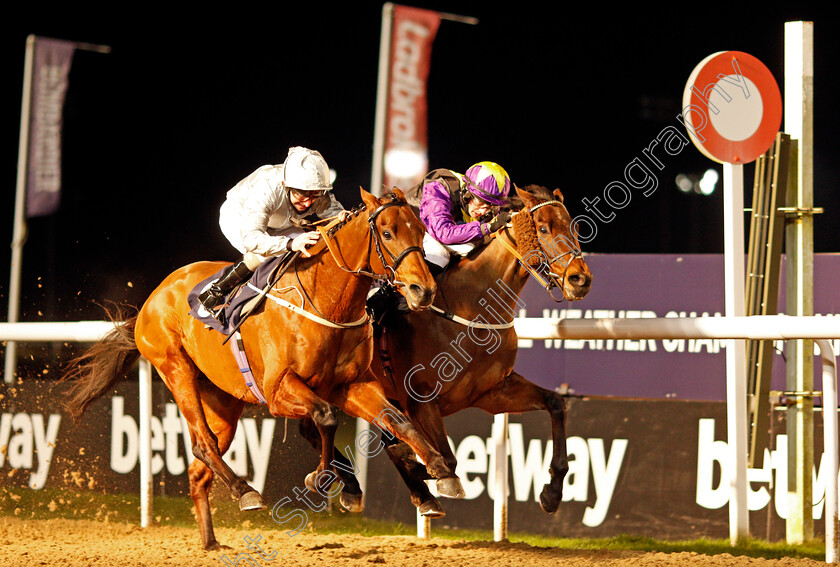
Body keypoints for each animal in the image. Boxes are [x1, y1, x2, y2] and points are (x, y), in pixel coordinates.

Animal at [62, 190, 462, 552]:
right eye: (388, 233)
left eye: (420, 231)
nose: (423, 290)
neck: (327, 301)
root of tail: (151, 299)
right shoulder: (278, 390)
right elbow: (326, 417)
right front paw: (324, 479)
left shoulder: (353, 385)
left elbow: (397, 420)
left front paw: (441, 471)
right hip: (175, 369)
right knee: (203, 443)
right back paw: (246, 491)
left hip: (223, 401)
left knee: (199, 467)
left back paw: (211, 541)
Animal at [306, 185, 592, 520]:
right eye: (544, 228)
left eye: (573, 227)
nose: (580, 279)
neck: (472, 310)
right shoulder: (420, 400)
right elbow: (443, 459)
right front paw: (424, 469)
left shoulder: (493, 393)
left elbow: (555, 403)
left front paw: (552, 491)